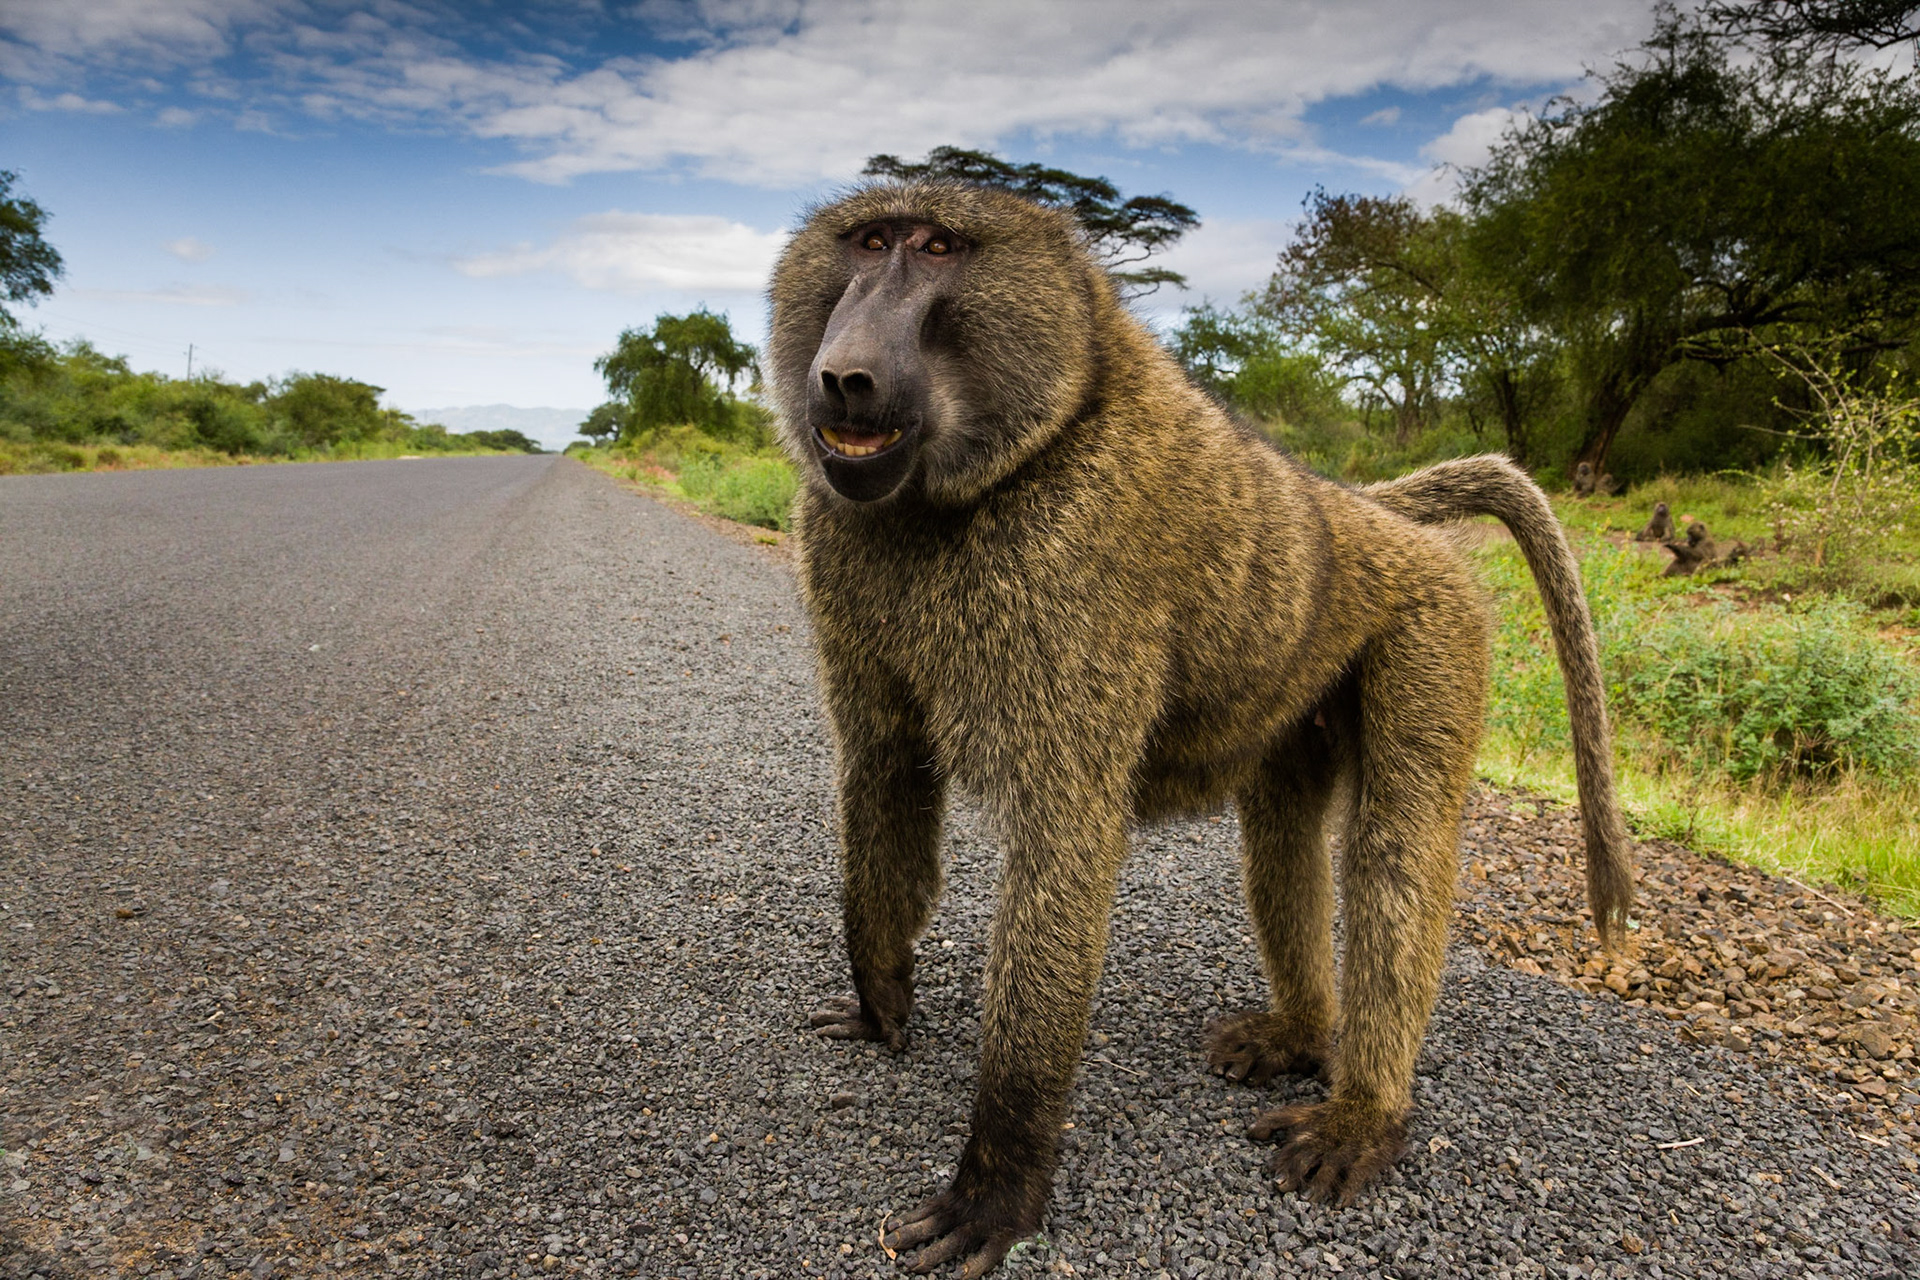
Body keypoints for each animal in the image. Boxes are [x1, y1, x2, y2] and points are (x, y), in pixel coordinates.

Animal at [768, 181, 1632, 1278]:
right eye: (869, 241)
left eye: (937, 248)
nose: (845, 376)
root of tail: (1367, 512)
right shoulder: (837, 545)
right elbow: (884, 766)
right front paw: (881, 997)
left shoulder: (1070, 564)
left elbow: (1064, 844)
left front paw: (998, 1185)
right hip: (1303, 682)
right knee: (1283, 836)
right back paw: (1303, 1034)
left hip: (1434, 628)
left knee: (1395, 852)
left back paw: (1364, 1115)